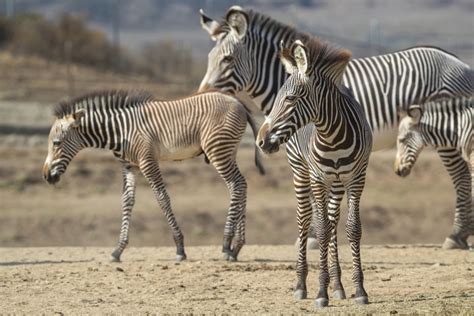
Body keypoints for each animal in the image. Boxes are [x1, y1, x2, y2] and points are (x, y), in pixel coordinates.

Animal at [42, 89, 264, 262]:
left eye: (56, 143)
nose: (46, 176)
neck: (120, 131)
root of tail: (237, 101)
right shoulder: (129, 166)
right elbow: (127, 201)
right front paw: (118, 250)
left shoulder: (147, 161)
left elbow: (162, 198)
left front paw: (180, 248)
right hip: (228, 150)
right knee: (241, 184)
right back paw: (236, 248)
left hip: (218, 150)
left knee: (236, 184)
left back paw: (226, 244)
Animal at [256, 38, 374, 308]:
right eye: (277, 99)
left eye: (290, 99)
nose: (260, 141)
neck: (333, 136)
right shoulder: (318, 178)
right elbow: (319, 230)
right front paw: (321, 292)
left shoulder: (357, 178)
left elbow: (352, 228)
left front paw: (358, 290)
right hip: (300, 172)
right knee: (304, 220)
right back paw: (301, 285)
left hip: (337, 183)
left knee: (332, 220)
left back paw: (338, 285)